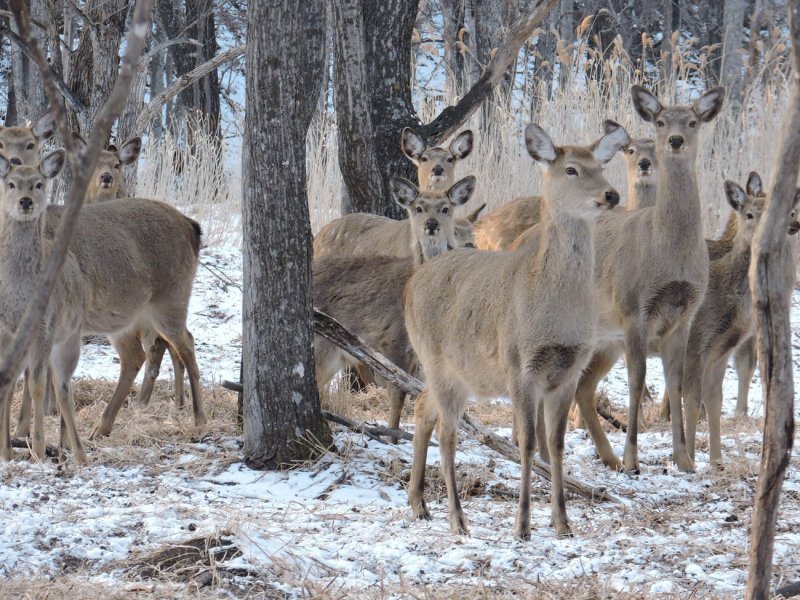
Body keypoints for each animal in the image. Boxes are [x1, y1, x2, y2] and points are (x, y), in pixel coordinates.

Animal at [0, 150, 87, 464]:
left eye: (38, 184)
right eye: (11, 183)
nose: (25, 201)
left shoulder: (44, 328)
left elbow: (38, 386)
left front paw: (37, 447)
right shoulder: (5, 332)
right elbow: (7, 385)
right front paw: (5, 451)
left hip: (69, 338)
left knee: (63, 389)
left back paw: (78, 453)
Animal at [312, 173, 476, 440]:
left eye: (445, 208)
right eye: (418, 207)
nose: (431, 224)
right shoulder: (393, 339)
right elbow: (398, 394)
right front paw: (392, 436)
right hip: (322, 348)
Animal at [404, 120, 628, 540]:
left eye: (601, 166)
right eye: (571, 169)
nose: (612, 193)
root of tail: (414, 279)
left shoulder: (568, 371)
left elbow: (556, 445)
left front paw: (562, 523)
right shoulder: (518, 366)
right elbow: (526, 444)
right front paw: (522, 526)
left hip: (459, 374)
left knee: (423, 407)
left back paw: (419, 504)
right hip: (435, 359)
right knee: (447, 432)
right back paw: (457, 519)